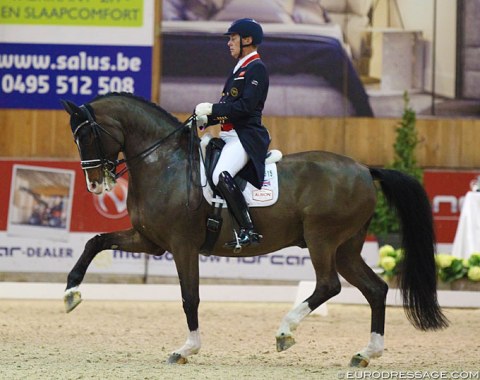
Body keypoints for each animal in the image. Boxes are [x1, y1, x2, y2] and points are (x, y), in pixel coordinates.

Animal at [62, 93, 448, 368]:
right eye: (75, 138)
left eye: (88, 135)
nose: (94, 184)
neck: (165, 164)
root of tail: (365, 169)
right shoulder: (150, 240)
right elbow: (96, 242)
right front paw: (71, 293)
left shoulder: (182, 245)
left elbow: (190, 297)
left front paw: (187, 348)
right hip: (346, 248)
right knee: (375, 289)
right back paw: (365, 354)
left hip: (322, 240)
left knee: (329, 285)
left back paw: (285, 332)